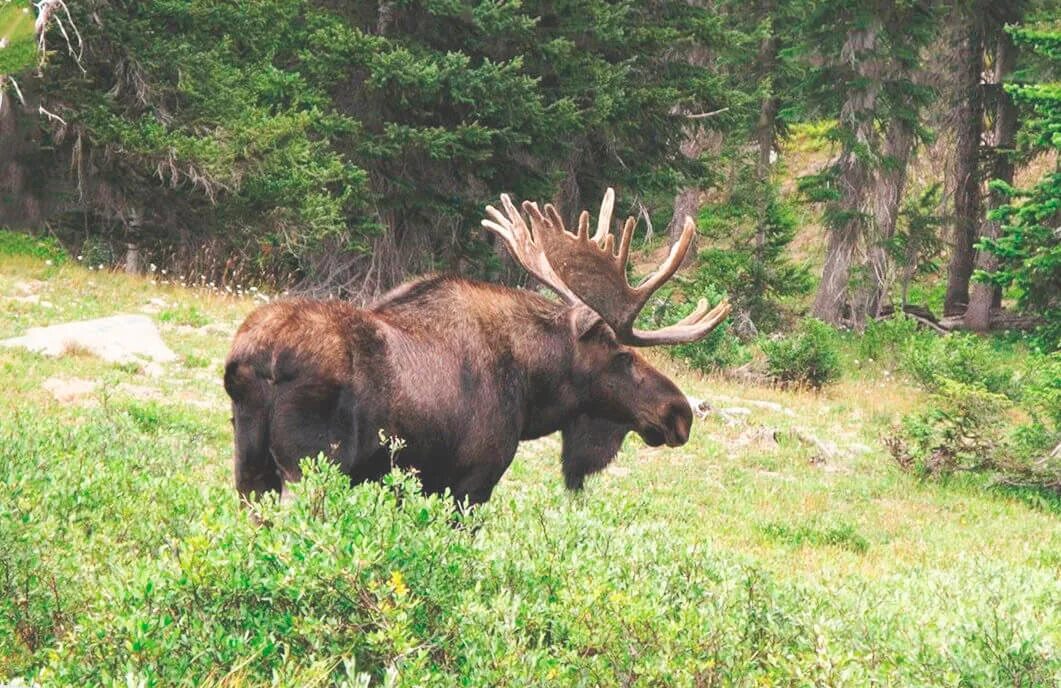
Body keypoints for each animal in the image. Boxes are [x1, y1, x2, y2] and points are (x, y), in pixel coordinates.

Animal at [225, 187, 729, 505]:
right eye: (623, 356)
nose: (678, 412)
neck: (532, 391)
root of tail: (253, 362)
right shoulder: (471, 481)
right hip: (311, 468)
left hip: (250, 469)